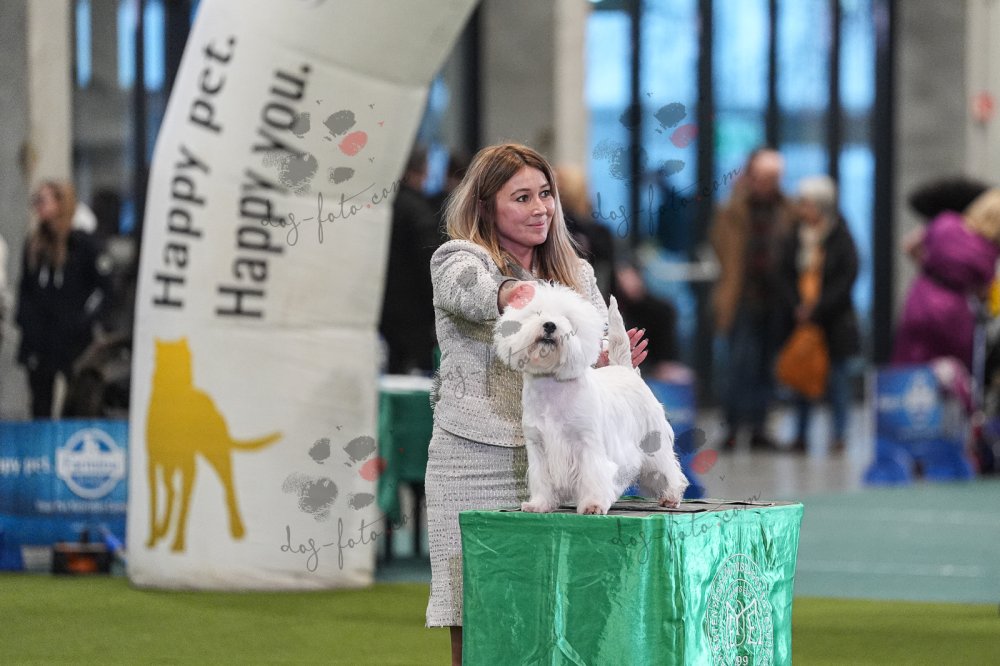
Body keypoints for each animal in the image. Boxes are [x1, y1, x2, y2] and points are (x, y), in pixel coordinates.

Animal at [146, 338, 281, 552]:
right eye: (162, 361)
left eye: (186, 362)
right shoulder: (152, 464)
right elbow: (156, 501)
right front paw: (154, 537)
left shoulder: (189, 466)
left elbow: (183, 505)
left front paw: (178, 543)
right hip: (172, 466)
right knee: (171, 490)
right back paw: (163, 528)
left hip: (218, 456)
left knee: (228, 487)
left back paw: (237, 528)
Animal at [495, 282, 688, 515]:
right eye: (537, 313)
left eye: (566, 318)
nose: (550, 325)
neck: (551, 384)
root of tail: (625, 369)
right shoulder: (538, 445)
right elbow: (541, 478)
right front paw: (539, 504)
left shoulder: (588, 442)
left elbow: (593, 474)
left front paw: (593, 505)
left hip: (652, 440)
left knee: (668, 467)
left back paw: (671, 496)